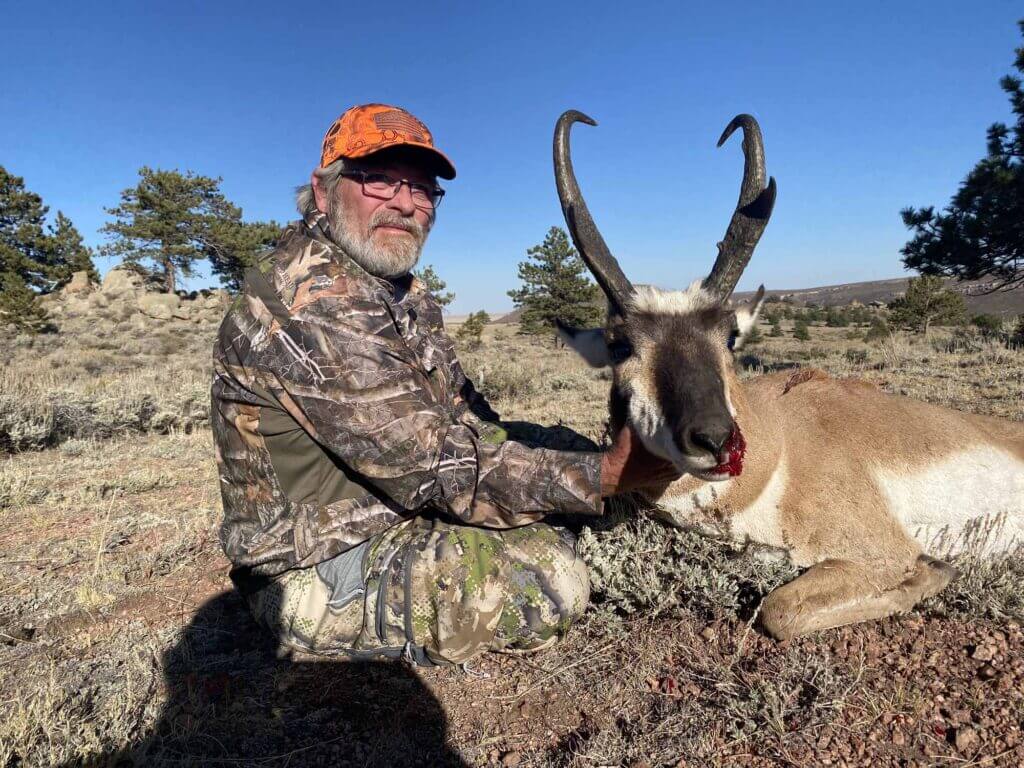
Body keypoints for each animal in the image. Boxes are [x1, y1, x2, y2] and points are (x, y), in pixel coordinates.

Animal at [552, 110, 1024, 640]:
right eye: (620, 344)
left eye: (730, 335)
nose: (715, 439)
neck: (778, 444)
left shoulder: (881, 551)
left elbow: (778, 610)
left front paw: (936, 568)